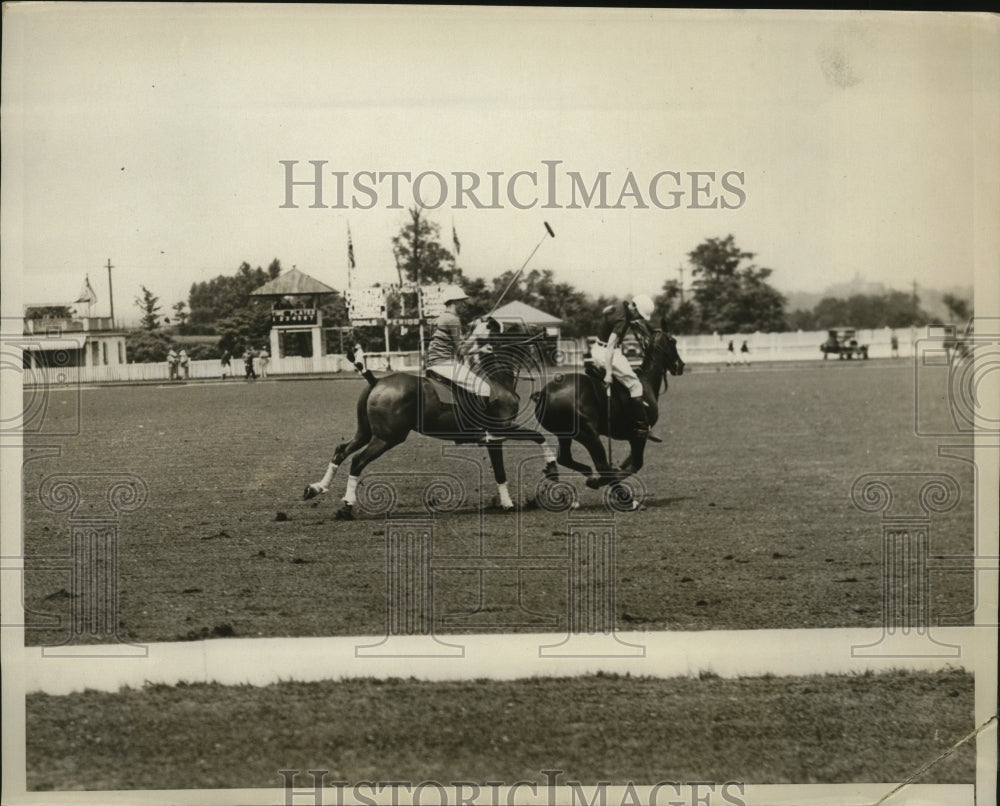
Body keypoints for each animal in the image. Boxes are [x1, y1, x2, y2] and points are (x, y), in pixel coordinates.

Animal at [304, 318, 556, 520]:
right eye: (515, 326)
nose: (546, 330)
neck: (496, 379)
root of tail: (376, 380)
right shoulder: (497, 433)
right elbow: (528, 445)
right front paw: (544, 474)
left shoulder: (494, 436)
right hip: (388, 437)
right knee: (357, 460)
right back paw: (346, 506)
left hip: (365, 431)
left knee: (341, 450)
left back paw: (316, 488)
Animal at [532, 328, 688, 498]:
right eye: (673, 342)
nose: (680, 365)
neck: (646, 380)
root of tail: (543, 393)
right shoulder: (638, 435)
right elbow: (636, 464)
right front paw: (606, 479)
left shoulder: (636, 437)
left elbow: (628, 463)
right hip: (589, 434)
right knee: (602, 465)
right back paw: (619, 493)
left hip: (565, 434)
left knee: (565, 458)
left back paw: (587, 474)